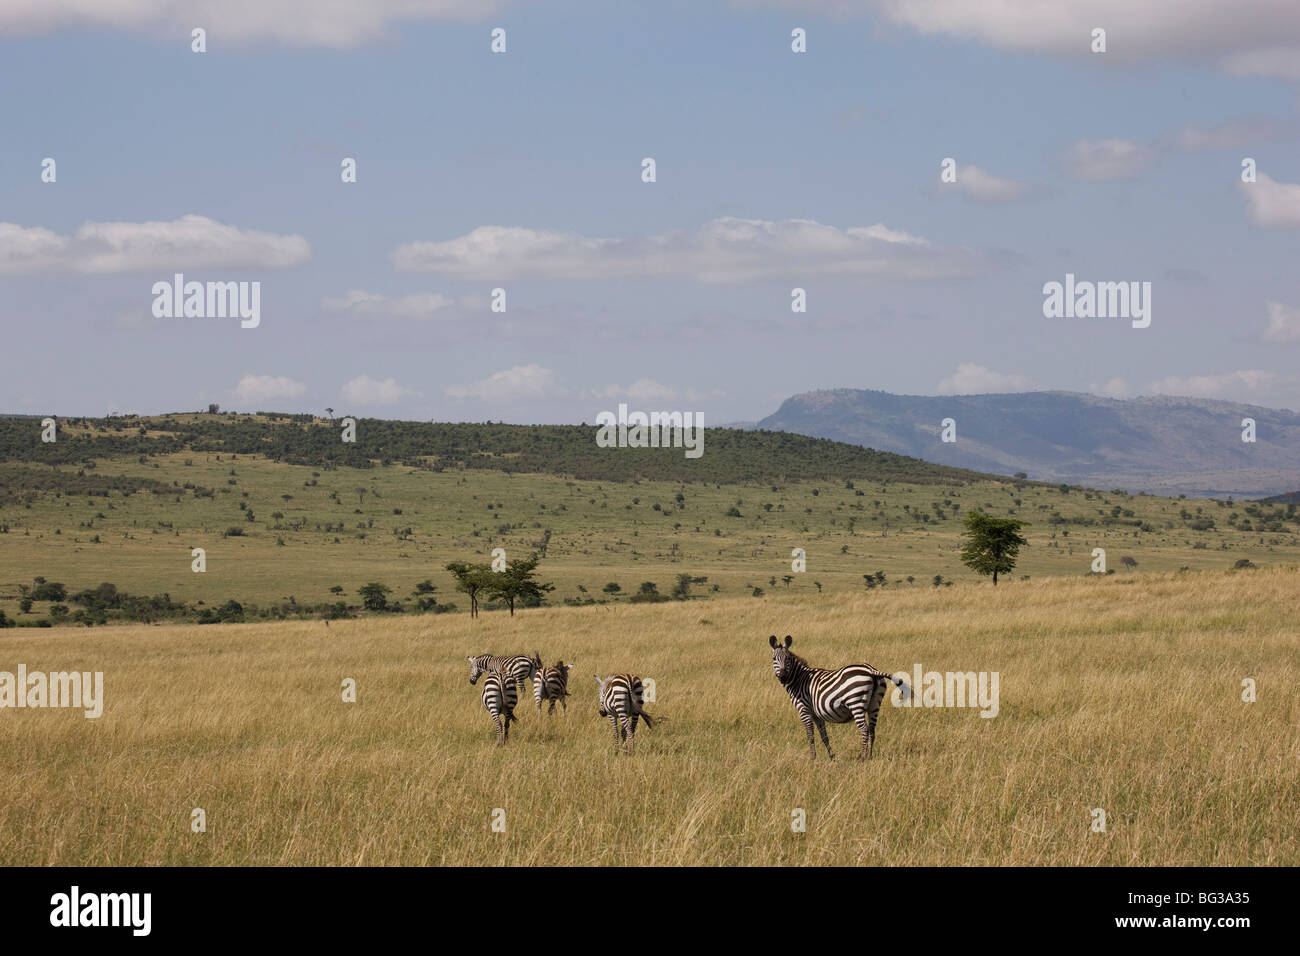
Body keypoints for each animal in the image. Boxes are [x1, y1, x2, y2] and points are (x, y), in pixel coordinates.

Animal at [764, 634, 909, 764]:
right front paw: (832, 757)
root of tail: (871, 670)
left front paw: (812, 759)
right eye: (774, 658)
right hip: (875, 704)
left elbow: (810, 736)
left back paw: (862, 758)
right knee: (872, 730)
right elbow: (824, 736)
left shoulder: (804, 710)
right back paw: (869, 756)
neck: (799, 680)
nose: (783, 676)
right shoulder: (817, 715)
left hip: (856, 703)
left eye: (787, 658)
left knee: (864, 729)